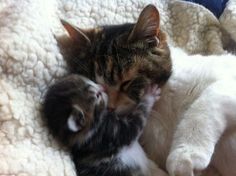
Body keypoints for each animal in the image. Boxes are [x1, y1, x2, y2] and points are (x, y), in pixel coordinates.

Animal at [60, 3, 236, 176]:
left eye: (126, 82)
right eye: (94, 83)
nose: (109, 107)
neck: (162, 105)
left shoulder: (226, 83)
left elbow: (204, 104)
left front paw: (184, 156)